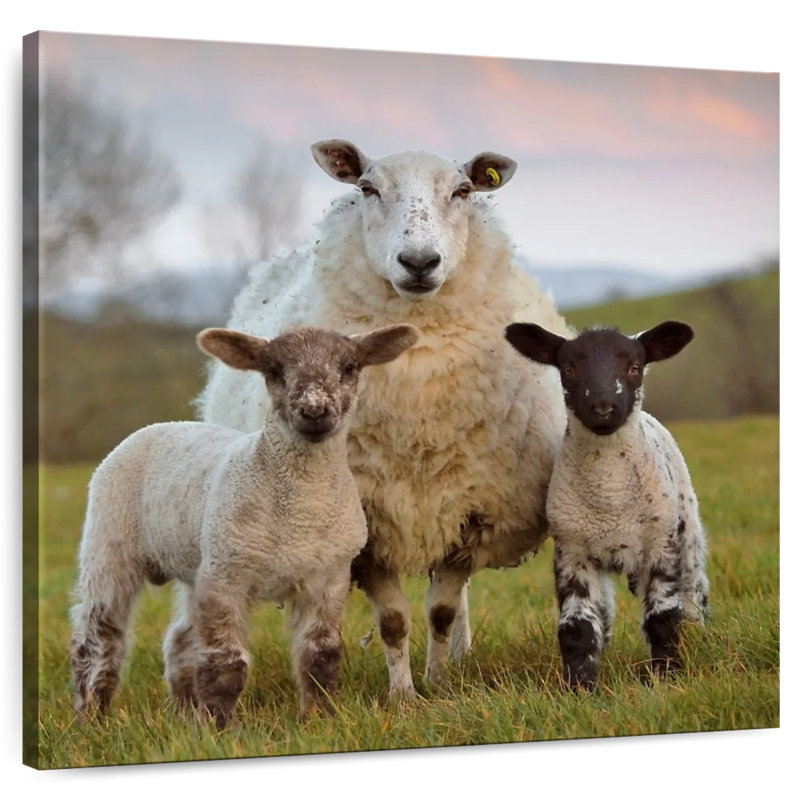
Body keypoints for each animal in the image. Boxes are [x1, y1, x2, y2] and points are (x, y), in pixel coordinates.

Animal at [70, 322, 419, 726]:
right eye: (274, 371)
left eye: (349, 367)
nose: (315, 410)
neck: (300, 512)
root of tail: (162, 425)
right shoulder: (227, 578)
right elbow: (226, 662)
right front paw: (218, 726)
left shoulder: (328, 578)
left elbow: (321, 655)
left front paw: (320, 718)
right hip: (109, 542)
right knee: (99, 637)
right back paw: (92, 714)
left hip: (197, 562)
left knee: (180, 639)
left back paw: (183, 710)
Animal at [198, 139, 571, 698]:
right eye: (368, 188)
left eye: (463, 191)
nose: (419, 261)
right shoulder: (367, 526)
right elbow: (394, 621)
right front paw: (403, 696)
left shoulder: (468, 512)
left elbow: (441, 610)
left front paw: (440, 684)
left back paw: (461, 657)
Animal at [504, 320, 710, 689]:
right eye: (568, 369)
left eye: (635, 367)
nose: (602, 409)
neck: (610, 495)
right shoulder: (572, 552)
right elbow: (577, 628)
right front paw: (580, 688)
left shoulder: (661, 546)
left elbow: (663, 618)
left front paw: (668, 679)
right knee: (604, 614)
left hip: (687, 534)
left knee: (694, 599)